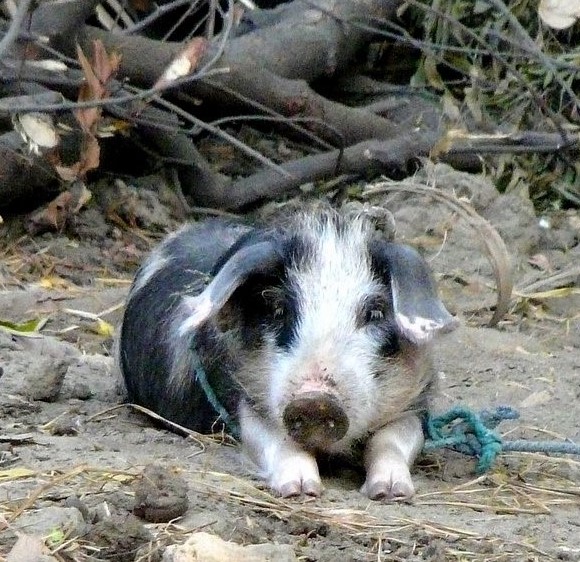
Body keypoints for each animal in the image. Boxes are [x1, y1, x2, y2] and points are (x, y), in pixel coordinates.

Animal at [119, 206, 458, 498]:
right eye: (279, 310)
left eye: (376, 313)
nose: (316, 400)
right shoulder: (242, 401)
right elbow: (277, 441)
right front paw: (300, 490)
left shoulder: (413, 403)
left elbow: (392, 440)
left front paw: (391, 492)